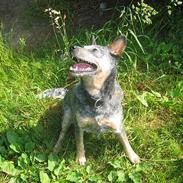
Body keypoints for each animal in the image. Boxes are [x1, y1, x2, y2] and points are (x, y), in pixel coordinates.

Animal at [39, 36, 140, 165]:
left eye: (94, 50)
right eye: (83, 46)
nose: (72, 46)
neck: (96, 98)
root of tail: (67, 91)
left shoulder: (117, 126)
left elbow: (125, 141)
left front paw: (133, 156)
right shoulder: (79, 125)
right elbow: (79, 143)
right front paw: (80, 158)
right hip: (67, 117)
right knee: (62, 133)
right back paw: (57, 148)